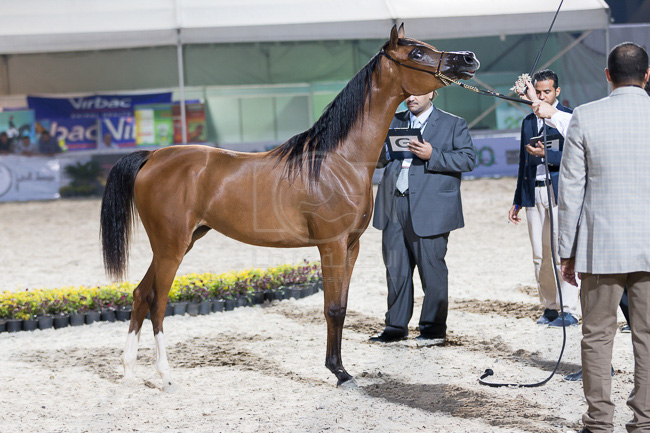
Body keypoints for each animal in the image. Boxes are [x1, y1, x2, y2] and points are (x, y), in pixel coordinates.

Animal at [100, 24, 479, 391]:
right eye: (416, 53)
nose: (468, 58)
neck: (338, 160)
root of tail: (153, 156)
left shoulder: (351, 246)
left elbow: (342, 306)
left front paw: (340, 369)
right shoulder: (331, 245)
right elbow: (333, 308)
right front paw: (340, 373)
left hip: (178, 242)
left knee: (141, 293)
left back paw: (129, 371)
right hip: (172, 246)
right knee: (158, 302)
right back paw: (166, 376)